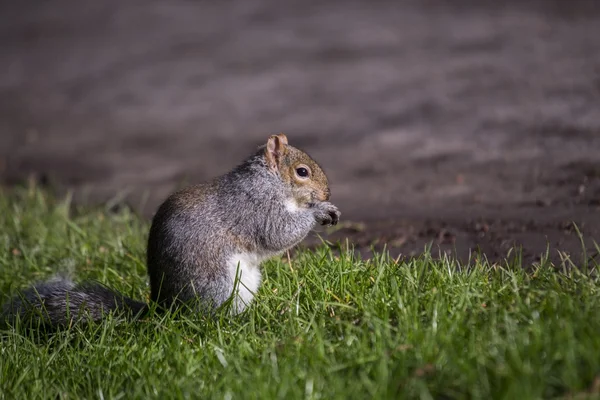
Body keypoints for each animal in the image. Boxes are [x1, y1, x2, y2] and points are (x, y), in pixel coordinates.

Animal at [2, 134, 340, 328]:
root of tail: (165, 309)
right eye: (302, 172)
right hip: (219, 283)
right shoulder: (254, 208)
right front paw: (319, 212)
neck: (269, 181)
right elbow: (277, 233)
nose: (326, 193)